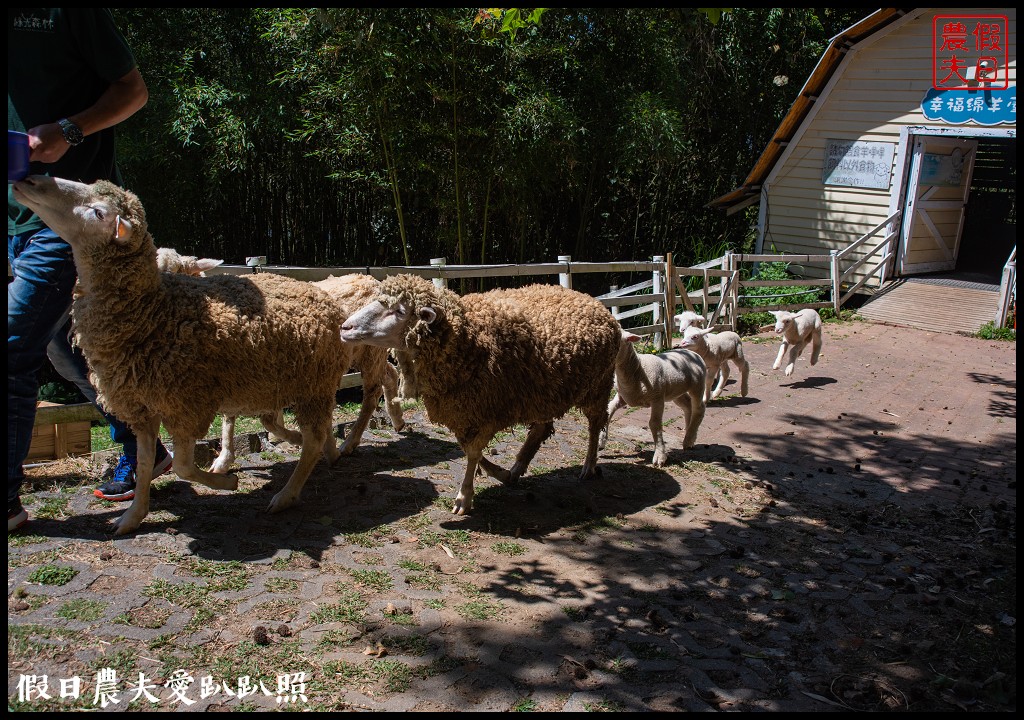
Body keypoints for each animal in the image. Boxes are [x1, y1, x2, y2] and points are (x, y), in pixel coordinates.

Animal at [12, 176, 352, 536]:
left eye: (98, 212)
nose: (29, 181)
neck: (155, 312)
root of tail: (324, 297)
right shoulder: (142, 408)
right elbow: (146, 462)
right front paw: (132, 517)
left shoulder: (187, 404)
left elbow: (184, 466)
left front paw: (228, 483)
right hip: (275, 380)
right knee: (289, 426)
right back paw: (315, 450)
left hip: (314, 383)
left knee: (312, 438)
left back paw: (287, 492)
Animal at [339, 272, 618, 516]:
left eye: (399, 311)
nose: (345, 327)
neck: (468, 339)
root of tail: (594, 302)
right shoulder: (463, 411)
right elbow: (469, 449)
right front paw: (500, 474)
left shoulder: (484, 410)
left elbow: (473, 452)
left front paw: (465, 496)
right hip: (544, 393)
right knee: (541, 429)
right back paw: (518, 467)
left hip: (598, 387)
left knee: (595, 425)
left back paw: (589, 465)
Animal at [598, 327, 708, 467]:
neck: (637, 370)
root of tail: (692, 353)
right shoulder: (623, 397)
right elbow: (607, 411)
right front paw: (601, 442)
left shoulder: (657, 398)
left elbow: (654, 424)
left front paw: (660, 456)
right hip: (676, 391)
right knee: (687, 405)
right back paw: (689, 433)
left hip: (697, 385)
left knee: (699, 409)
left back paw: (688, 440)